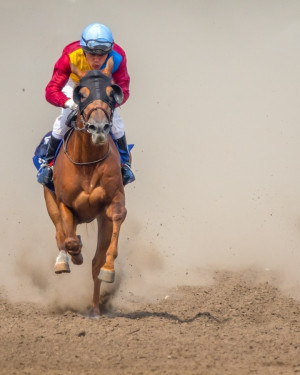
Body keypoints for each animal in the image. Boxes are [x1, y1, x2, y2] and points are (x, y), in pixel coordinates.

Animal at [43, 58, 126, 318]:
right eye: (82, 95)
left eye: (111, 93)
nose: (98, 128)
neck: (87, 161)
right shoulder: (64, 204)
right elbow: (68, 239)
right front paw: (74, 254)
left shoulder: (113, 201)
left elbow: (117, 217)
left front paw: (108, 268)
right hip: (50, 202)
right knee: (60, 234)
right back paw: (64, 260)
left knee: (94, 263)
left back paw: (95, 309)